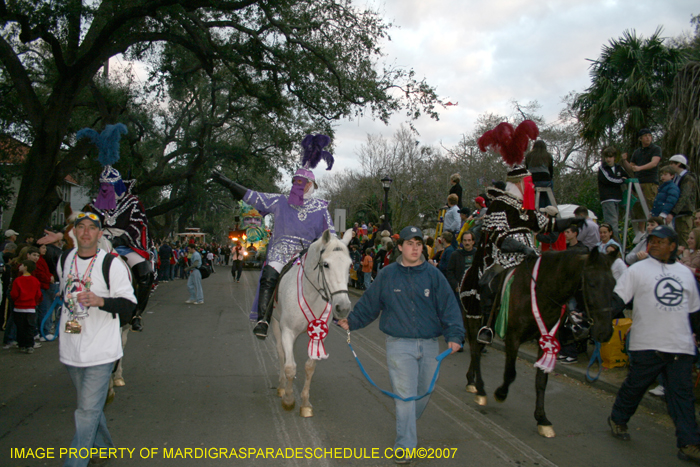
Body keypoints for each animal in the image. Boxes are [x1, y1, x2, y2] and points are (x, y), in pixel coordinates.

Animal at [270, 229, 352, 416]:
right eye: (326, 264)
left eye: (350, 265)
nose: (343, 308)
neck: (310, 294)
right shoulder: (287, 331)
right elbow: (290, 367)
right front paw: (289, 399)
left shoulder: (318, 335)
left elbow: (310, 367)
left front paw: (305, 403)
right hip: (275, 323)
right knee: (280, 352)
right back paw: (282, 386)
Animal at [462, 250, 616, 436]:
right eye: (592, 284)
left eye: (614, 284)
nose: (605, 331)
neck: (540, 292)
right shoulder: (513, 337)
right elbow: (510, 373)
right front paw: (500, 394)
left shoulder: (547, 341)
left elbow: (541, 380)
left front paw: (542, 419)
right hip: (473, 321)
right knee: (475, 351)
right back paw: (480, 389)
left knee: (477, 349)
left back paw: (472, 381)